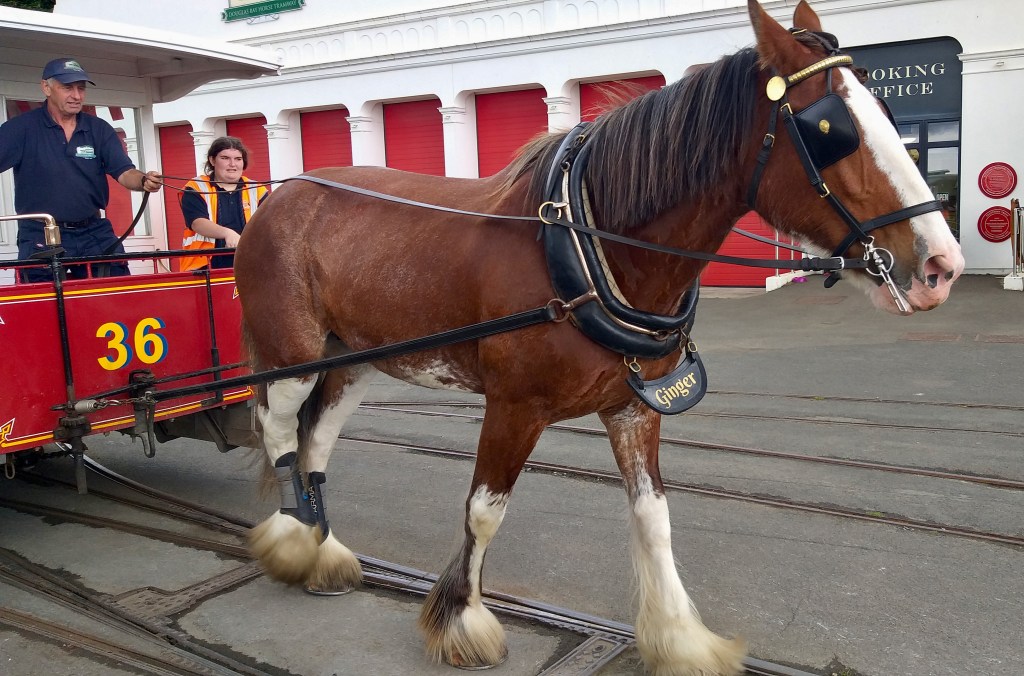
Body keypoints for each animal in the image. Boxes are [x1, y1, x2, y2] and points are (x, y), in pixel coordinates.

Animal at [233, 1, 964, 674]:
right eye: (828, 130)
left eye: (889, 112)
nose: (940, 265)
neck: (590, 245)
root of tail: (281, 194)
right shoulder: (513, 408)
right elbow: (484, 510)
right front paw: (462, 621)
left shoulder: (635, 408)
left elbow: (653, 517)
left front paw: (679, 636)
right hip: (292, 358)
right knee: (278, 430)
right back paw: (291, 542)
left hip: (356, 362)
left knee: (318, 439)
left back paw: (321, 551)